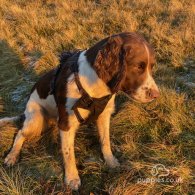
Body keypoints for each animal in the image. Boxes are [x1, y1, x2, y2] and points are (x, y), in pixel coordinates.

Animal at [0, 32, 158, 190]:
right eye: (138, 66)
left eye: (151, 67)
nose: (156, 95)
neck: (93, 84)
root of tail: (25, 112)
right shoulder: (66, 123)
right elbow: (68, 152)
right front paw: (72, 178)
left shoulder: (104, 116)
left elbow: (105, 141)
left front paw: (110, 161)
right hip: (35, 120)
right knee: (20, 134)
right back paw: (12, 156)